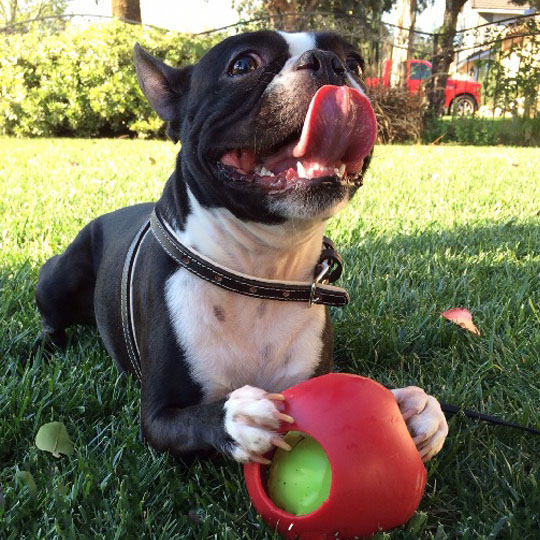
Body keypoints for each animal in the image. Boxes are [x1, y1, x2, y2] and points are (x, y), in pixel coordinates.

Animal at [34, 29, 448, 464]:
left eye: (354, 63)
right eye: (243, 64)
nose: (327, 63)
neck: (261, 269)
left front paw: (414, 408)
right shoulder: (158, 417)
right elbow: (194, 420)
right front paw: (238, 418)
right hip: (58, 276)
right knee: (52, 314)